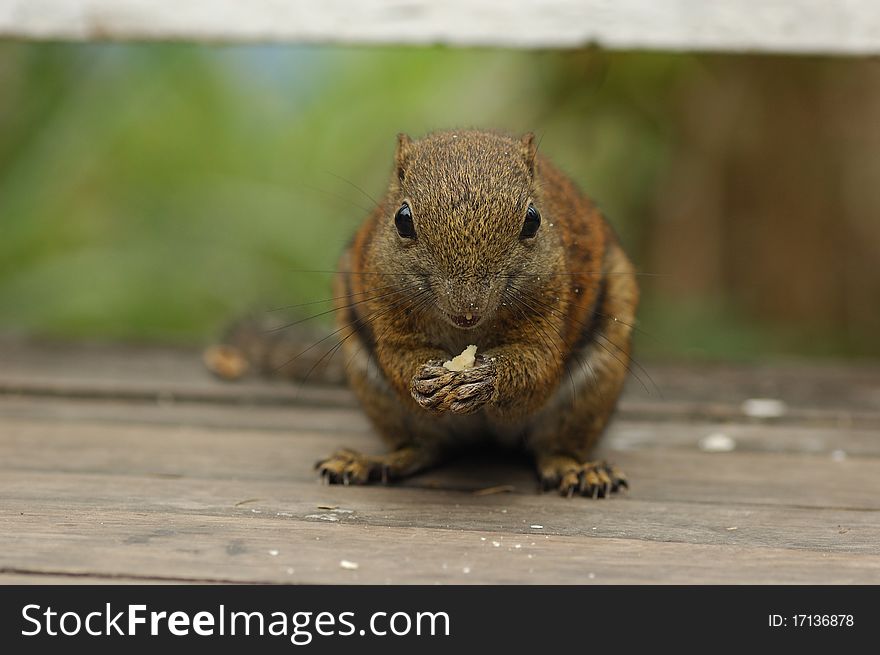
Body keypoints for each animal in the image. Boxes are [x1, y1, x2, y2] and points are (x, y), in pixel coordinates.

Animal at [211, 128, 640, 498]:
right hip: (380, 395)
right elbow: (398, 356)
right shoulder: (385, 302)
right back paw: (375, 461)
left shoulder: (552, 307)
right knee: (423, 449)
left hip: (592, 390)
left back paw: (576, 468)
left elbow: (538, 364)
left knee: (553, 449)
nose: (467, 311)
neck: (466, 333)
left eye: (533, 219)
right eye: (402, 219)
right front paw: (425, 377)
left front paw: (485, 377)